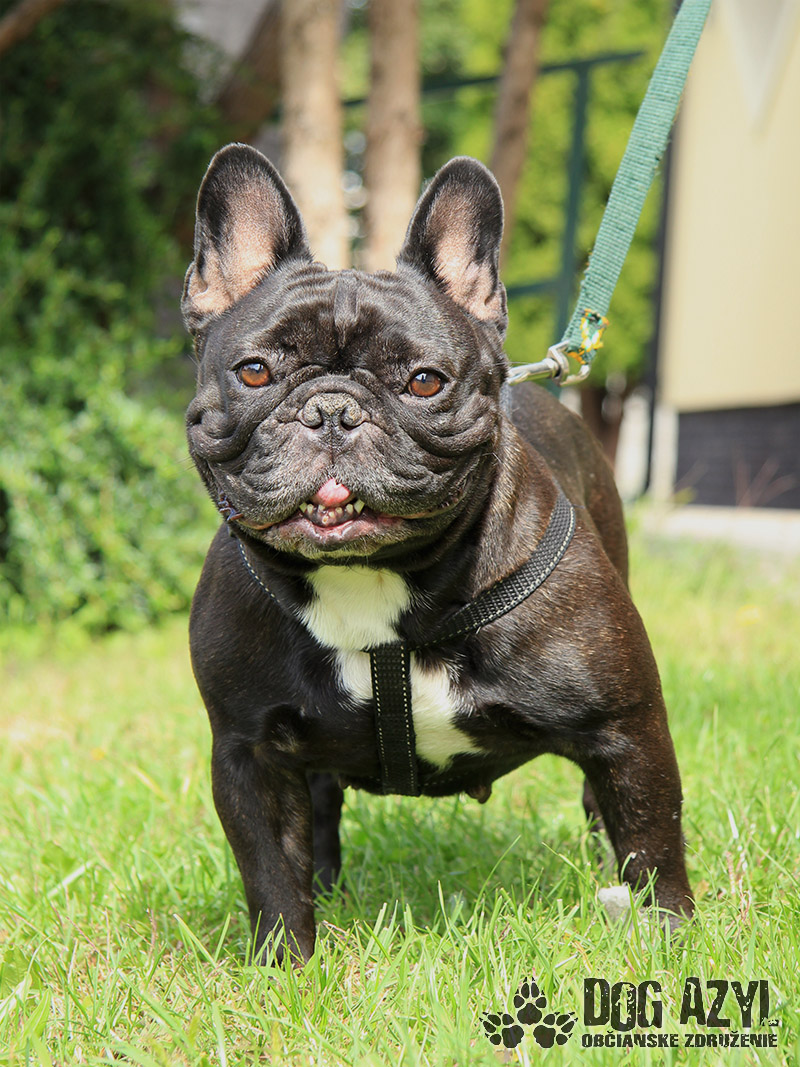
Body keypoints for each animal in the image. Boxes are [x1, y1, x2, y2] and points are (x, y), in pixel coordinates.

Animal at [181, 144, 693, 964]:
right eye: (255, 371)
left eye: (424, 381)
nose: (333, 410)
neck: (370, 584)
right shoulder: (248, 751)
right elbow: (270, 870)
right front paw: (285, 966)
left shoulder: (629, 729)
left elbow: (653, 840)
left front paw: (669, 940)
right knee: (318, 811)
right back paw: (330, 889)